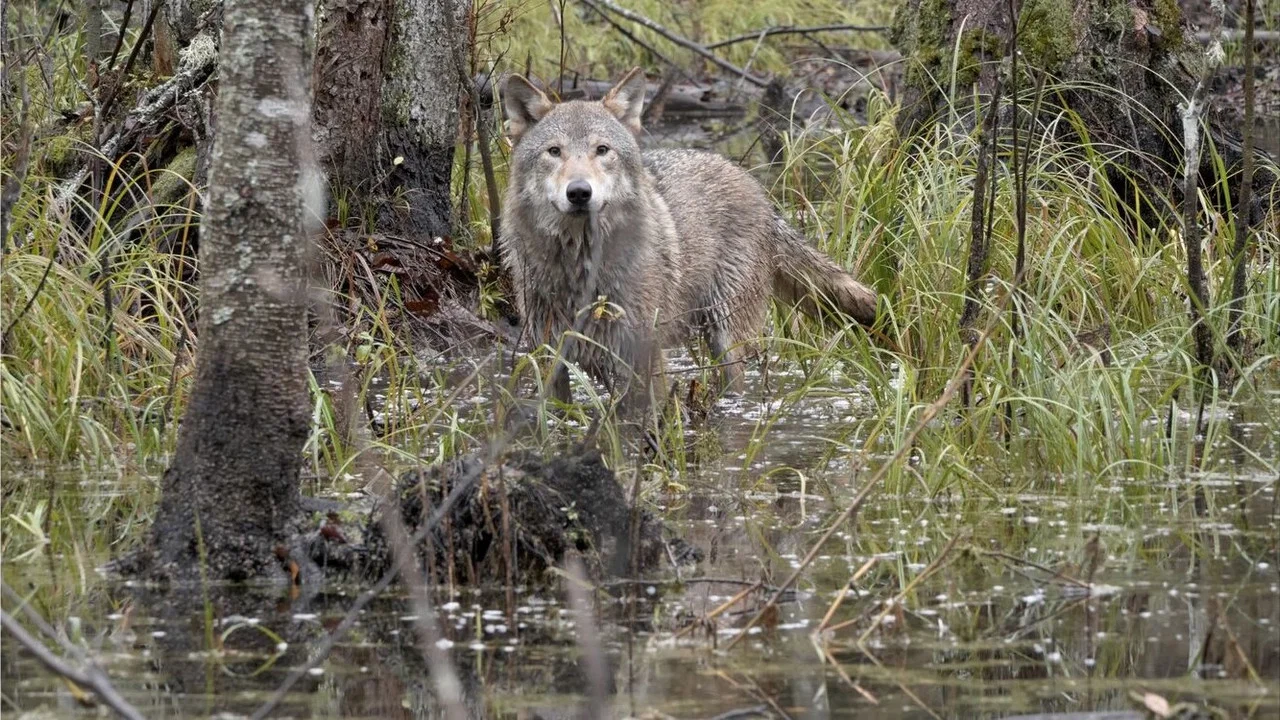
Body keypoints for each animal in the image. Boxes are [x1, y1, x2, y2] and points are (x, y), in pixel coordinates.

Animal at [499, 67, 877, 410]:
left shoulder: (644, 356)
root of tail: (757, 190)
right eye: (554, 152)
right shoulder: (548, 358)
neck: (580, 265)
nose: (579, 192)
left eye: (602, 150)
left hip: (726, 337)